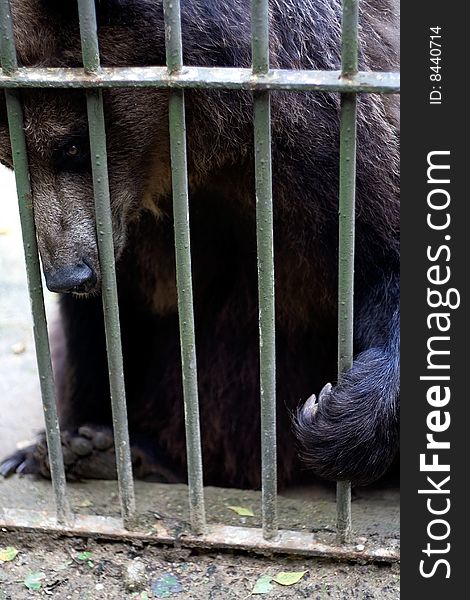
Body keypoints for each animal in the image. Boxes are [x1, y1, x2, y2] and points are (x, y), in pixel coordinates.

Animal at [0, 0, 400, 488]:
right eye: (9, 158)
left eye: (72, 147)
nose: (68, 275)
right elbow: (102, 328)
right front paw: (65, 441)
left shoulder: (325, 130)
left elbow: (383, 257)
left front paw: (338, 415)